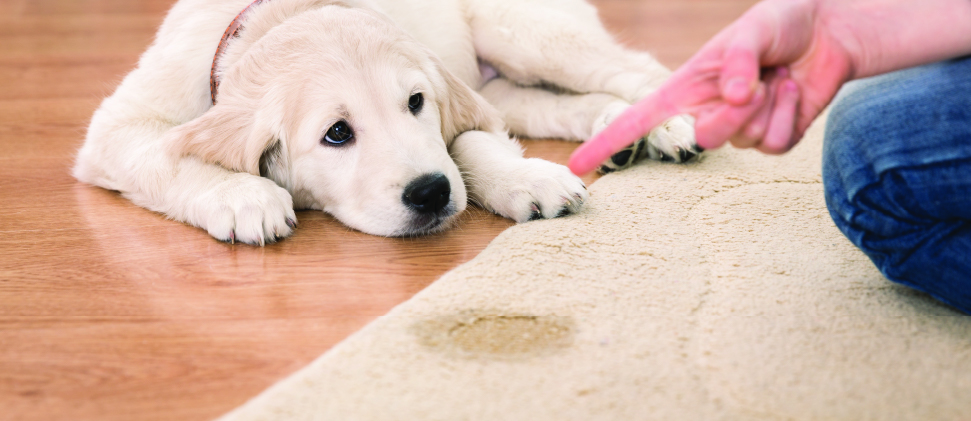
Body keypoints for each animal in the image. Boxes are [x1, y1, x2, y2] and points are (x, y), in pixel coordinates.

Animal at [76, 0, 700, 244]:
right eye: (337, 133)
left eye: (416, 102)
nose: (430, 193)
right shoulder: (117, 128)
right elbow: (166, 155)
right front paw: (242, 196)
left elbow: (468, 144)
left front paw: (527, 179)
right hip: (502, 75)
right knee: (552, 100)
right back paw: (616, 133)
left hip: (523, 31)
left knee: (635, 68)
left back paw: (670, 127)